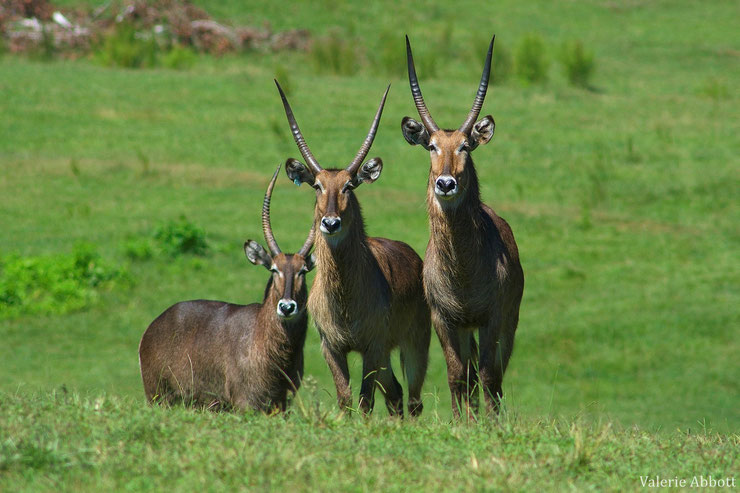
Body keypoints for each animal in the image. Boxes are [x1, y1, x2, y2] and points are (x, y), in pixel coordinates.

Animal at [139, 164, 316, 412]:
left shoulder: (281, 404)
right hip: (158, 397)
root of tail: (151, 328)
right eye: (274, 269)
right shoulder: (245, 403)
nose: (287, 307)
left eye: (303, 270)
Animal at [274, 80, 430, 416]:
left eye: (349, 185)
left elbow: (365, 400)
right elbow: (346, 399)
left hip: (412, 344)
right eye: (318, 185)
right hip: (385, 356)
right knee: (396, 394)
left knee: (413, 399)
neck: (345, 299)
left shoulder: (371, 346)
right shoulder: (332, 347)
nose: (330, 223)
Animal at [398, 35, 528, 418]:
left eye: (466, 145)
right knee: (468, 376)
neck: (463, 275)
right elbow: (457, 376)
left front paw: (491, 425)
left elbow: (489, 376)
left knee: (495, 374)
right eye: (431, 145)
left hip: (507, 323)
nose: (445, 183)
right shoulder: (445, 320)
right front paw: (462, 424)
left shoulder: (492, 318)